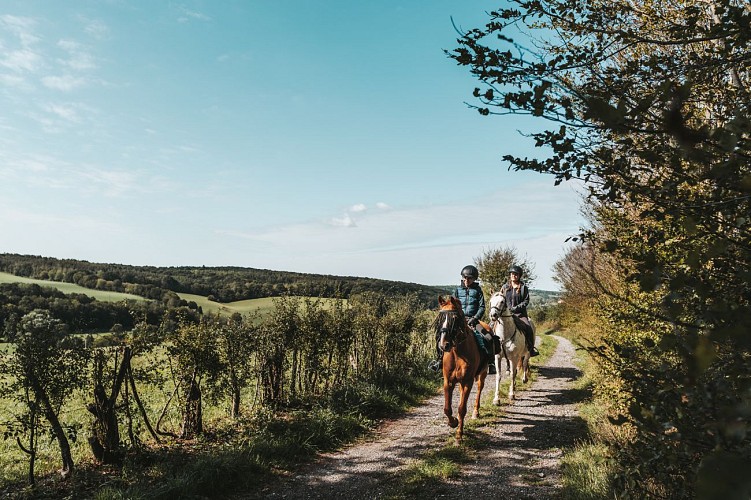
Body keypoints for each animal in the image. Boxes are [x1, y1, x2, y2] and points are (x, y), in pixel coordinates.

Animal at [432, 294, 490, 444]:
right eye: (440, 318)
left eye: (454, 318)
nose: (443, 345)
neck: (458, 353)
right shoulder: (448, 382)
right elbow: (447, 409)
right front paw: (453, 422)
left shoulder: (467, 382)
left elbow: (462, 409)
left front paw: (459, 435)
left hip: (482, 373)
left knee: (480, 388)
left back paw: (476, 412)